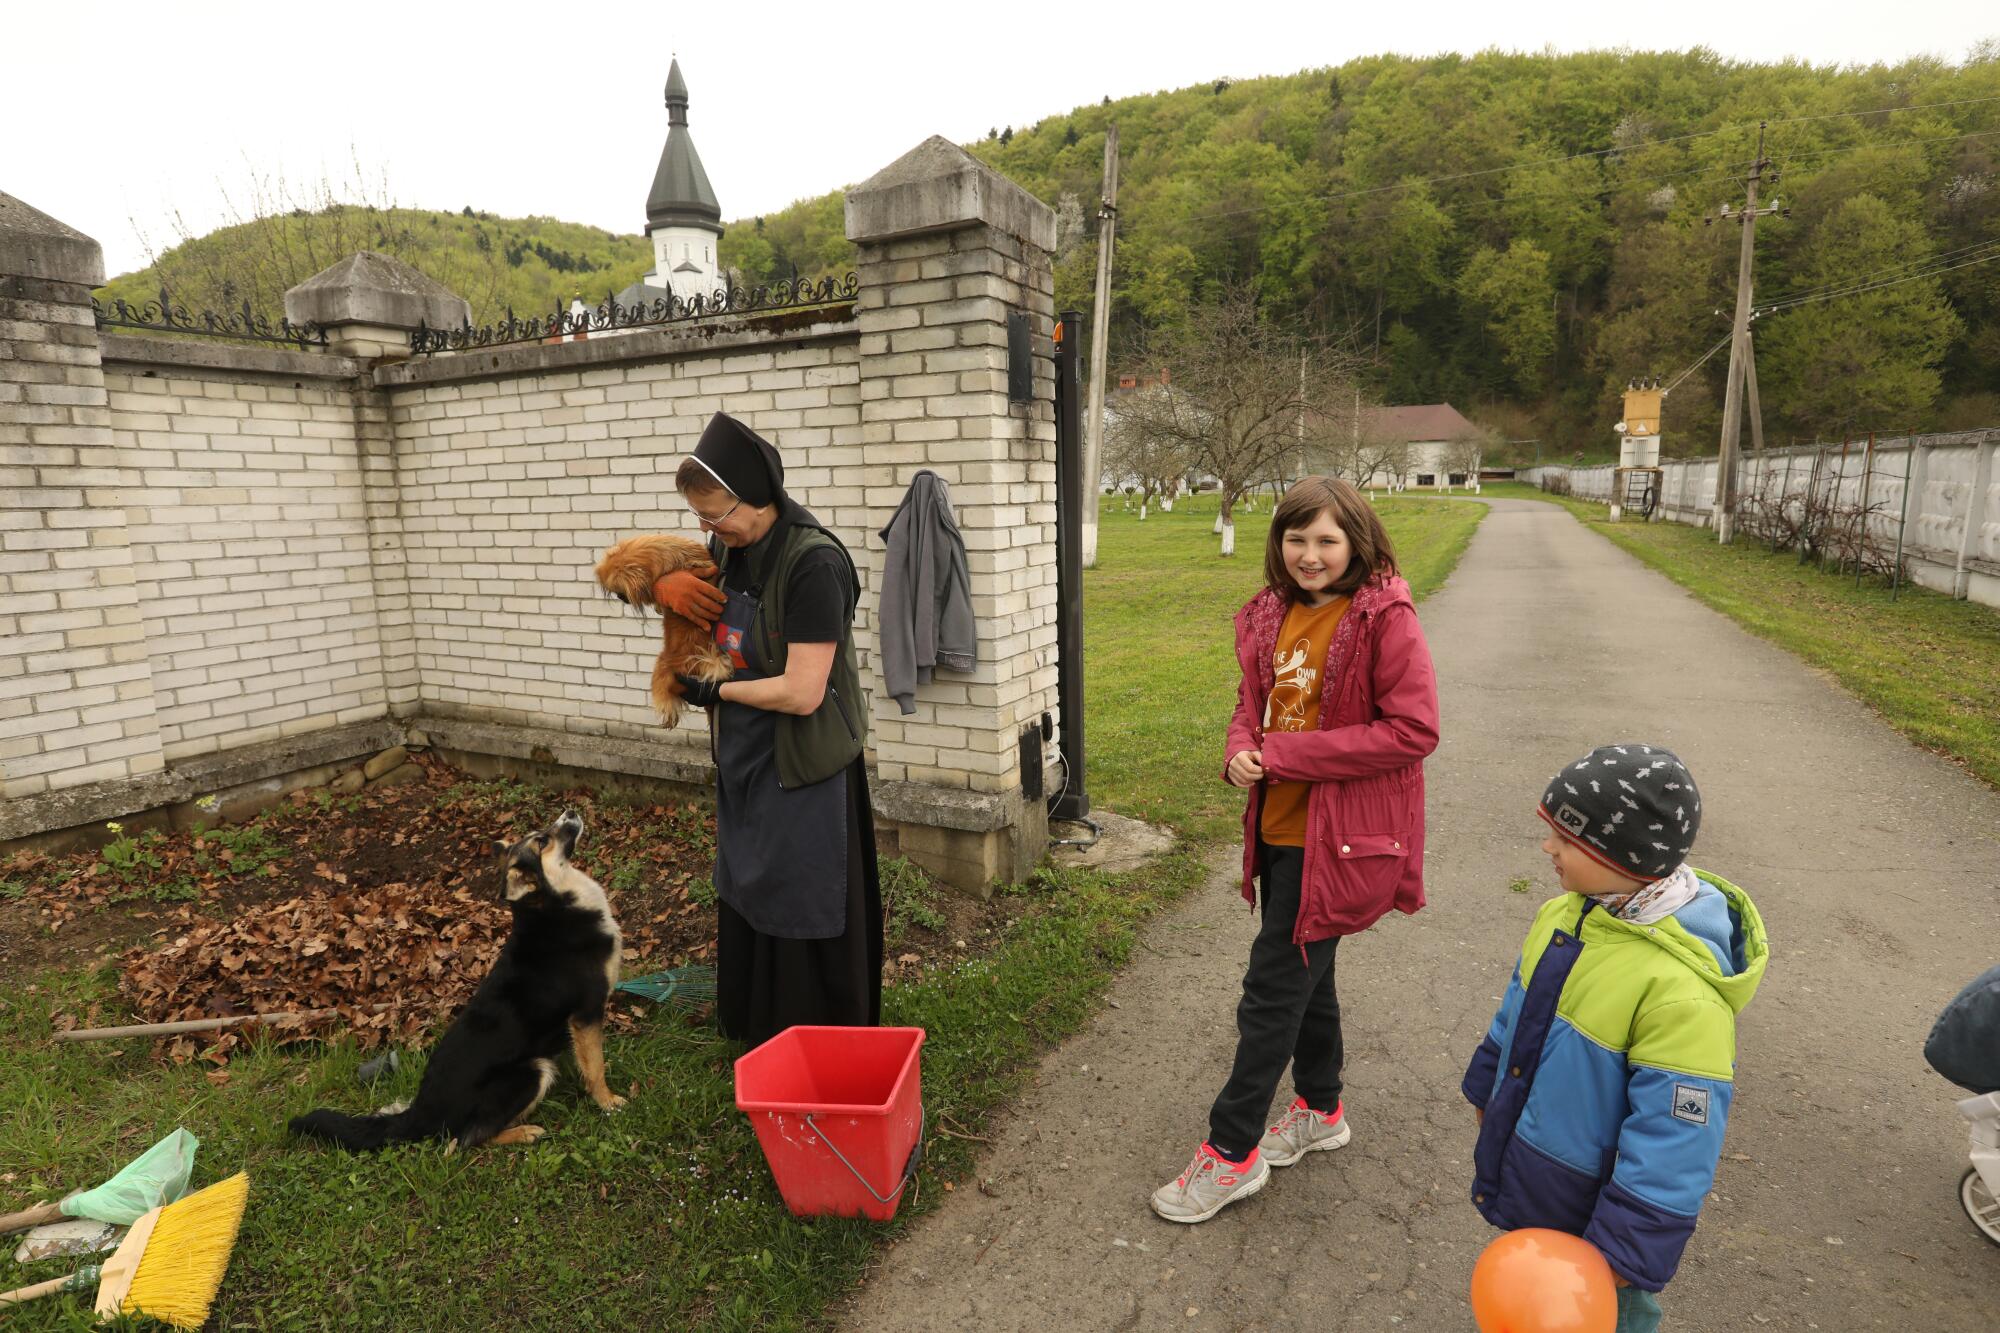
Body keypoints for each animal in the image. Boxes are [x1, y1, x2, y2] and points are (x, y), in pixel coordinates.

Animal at [290, 804, 624, 1144]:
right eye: (542, 841)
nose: (570, 811)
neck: (553, 905)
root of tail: (420, 1113)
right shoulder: (586, 1012)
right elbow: (595, 1066)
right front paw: (607, 1102)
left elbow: (588, 1058)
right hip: (533, 1071)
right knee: (468, 1138)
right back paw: (524, 1132)